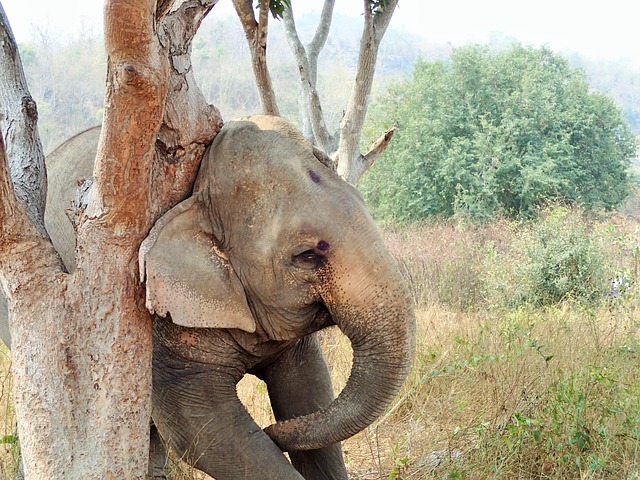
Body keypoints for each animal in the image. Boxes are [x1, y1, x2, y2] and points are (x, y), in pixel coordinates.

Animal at [0, 115, 415, 479]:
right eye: (308, 255)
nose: (271, 431)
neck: (199, 190)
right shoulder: (153, 314)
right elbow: (203, 432)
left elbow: (308, 386)